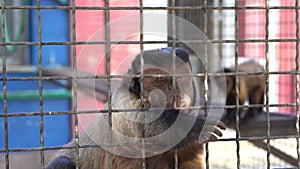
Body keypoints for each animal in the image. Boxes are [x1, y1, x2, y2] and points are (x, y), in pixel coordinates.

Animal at [46, 47, 225, 169]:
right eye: (160, 80)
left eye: (179, 79)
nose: (172, 89)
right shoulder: (122, 102)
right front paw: (197, 125)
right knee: (62, 162)